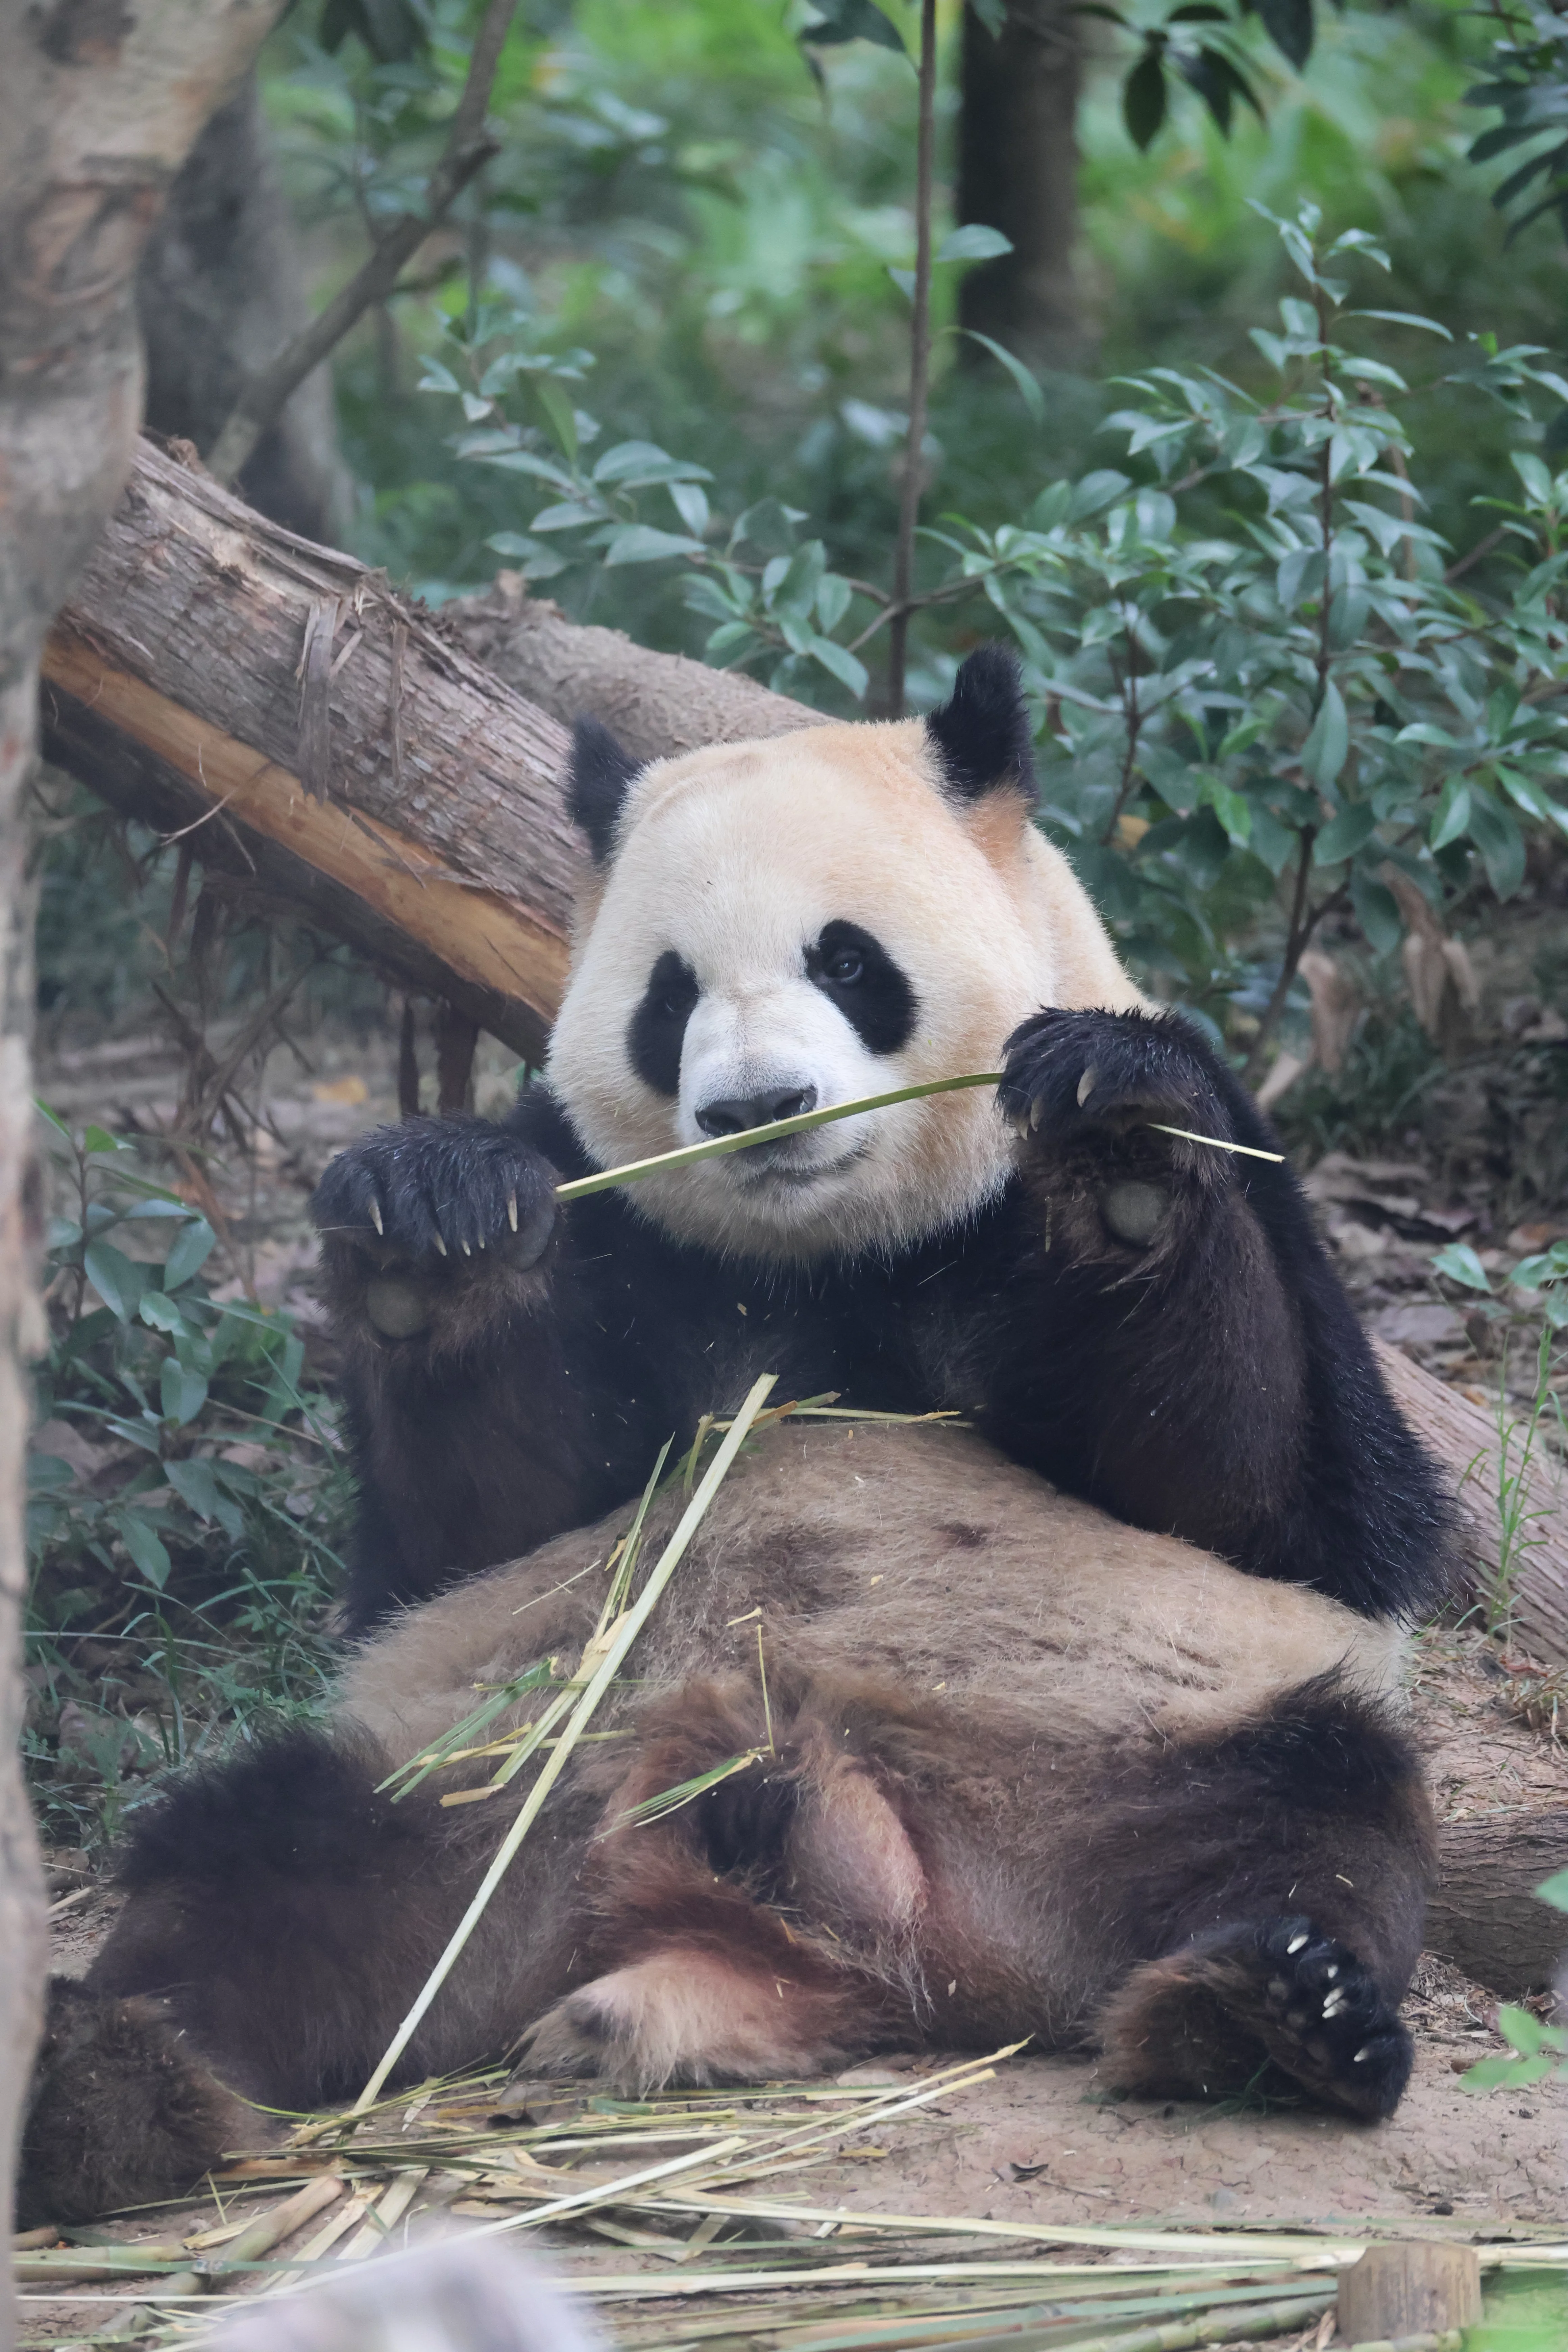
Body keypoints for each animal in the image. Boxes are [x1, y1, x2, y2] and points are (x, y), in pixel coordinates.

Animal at [18, 648, 1452, 2224]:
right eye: (668, 994)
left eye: (848, 963)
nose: (757, 1105)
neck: (821, 1252)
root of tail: (868, 1930)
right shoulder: (619, 1234)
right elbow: (468, 1524)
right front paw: (425, 1223)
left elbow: (1268, 1496)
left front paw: (1121, 1141)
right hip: (478, 1782)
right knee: (248, 1863)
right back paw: (109, 2081)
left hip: (1126, 1746)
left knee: (1315, 1817)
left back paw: (1269, 2009)